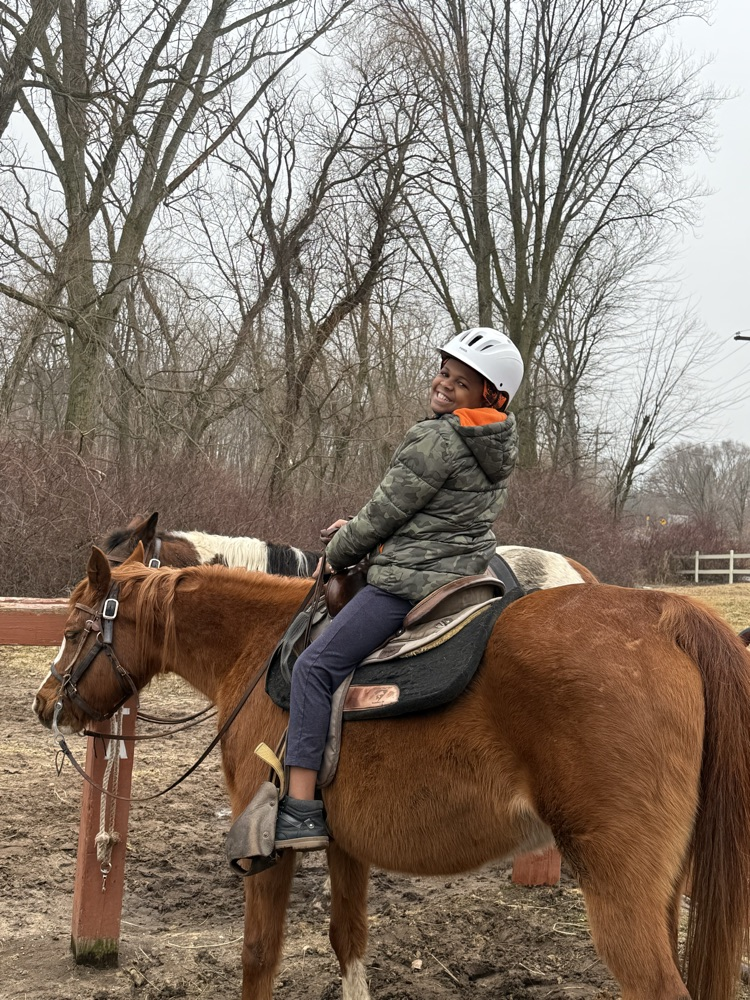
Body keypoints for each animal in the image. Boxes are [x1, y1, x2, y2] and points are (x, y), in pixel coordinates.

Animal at [34, 546, 750, 1000]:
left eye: (72, 629)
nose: (45, 705)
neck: (261, 647)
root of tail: (667, 616)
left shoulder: (266, 845)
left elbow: (258, 956)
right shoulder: (346, 843)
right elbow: (348, 942)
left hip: (620, 885)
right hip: (668, 885)